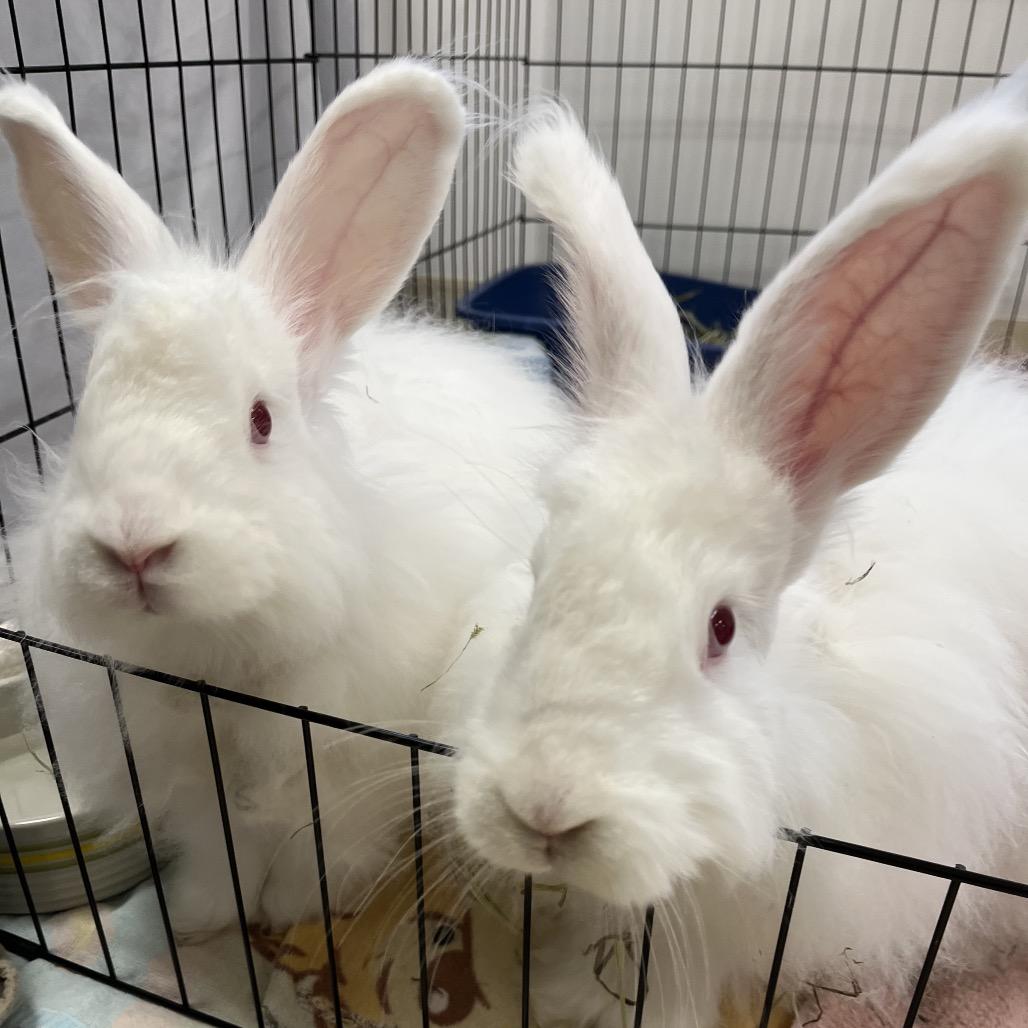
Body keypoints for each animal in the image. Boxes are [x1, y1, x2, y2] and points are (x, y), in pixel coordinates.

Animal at [0, 59, 566, 940]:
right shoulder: (191, 781)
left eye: (261, 420)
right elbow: (216, 850)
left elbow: (316, 849)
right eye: (88, 412)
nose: (133, 546)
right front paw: (198, 918)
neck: (215, 663)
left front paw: (297, 909)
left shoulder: (332, 768)